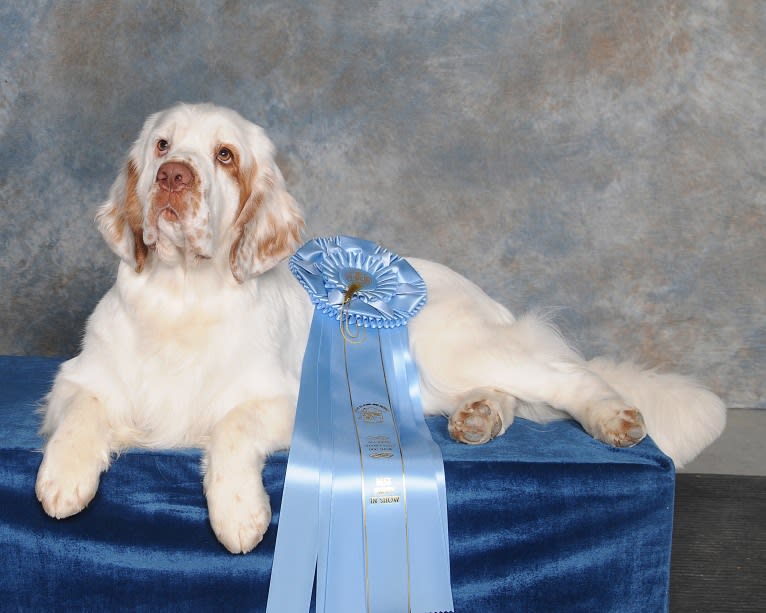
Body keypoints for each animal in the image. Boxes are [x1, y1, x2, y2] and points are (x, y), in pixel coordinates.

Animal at [36, 103, 728, 552]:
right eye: (161, 146)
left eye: (224, 156)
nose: (172, 177)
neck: (184, 297)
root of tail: (482, 296)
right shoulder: (83, 375)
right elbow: (84, 410)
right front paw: (63, 479)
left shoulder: (290, 400)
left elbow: (231, 427)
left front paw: (238, 514)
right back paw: (480, 417)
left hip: (457, 346)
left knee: (565, 376)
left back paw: (613, 417)